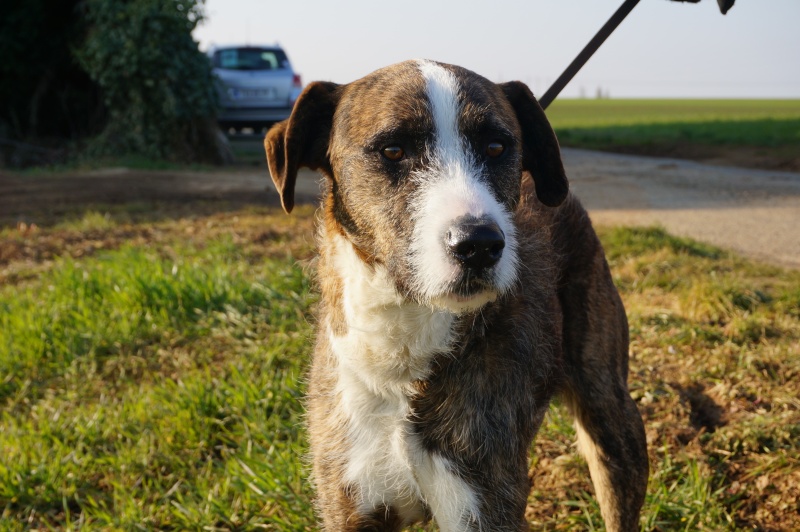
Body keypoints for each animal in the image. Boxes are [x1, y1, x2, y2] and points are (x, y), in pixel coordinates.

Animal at [266, 60, 648, 528]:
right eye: (393, 150)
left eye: (497, 147)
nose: (479, 244)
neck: (401, 350)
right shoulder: (351, 504)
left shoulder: (482, 502)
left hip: (610, 412)